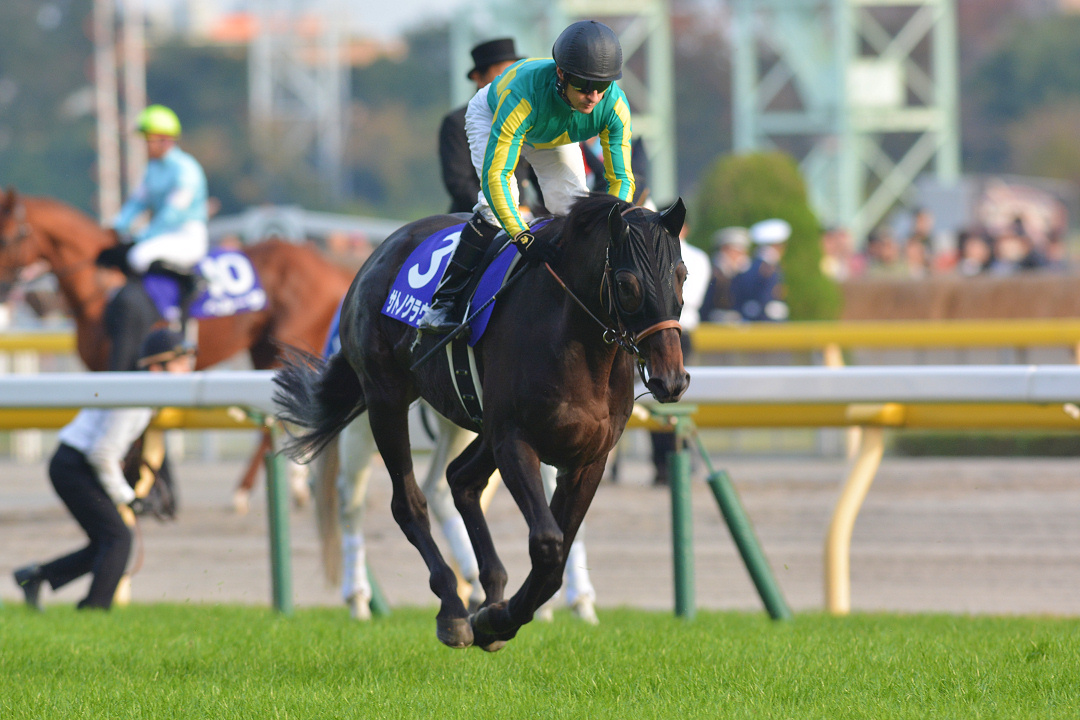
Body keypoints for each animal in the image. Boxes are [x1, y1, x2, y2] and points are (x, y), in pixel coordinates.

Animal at [0, 188, 352, 507]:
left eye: (7, 238)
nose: (5, 291)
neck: (102, 288)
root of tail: (333, 267)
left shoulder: (125, 361)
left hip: (287, 344)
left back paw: (250, 491)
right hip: (265, 350)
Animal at [274, 193, 689, 650]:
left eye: (682, 275)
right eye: (627, 285)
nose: (671, 379)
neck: (577, 343)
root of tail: (376, 255)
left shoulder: (587, 459)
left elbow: (556, 557)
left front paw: (499, 615)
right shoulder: (514, 440)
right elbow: (547, 543)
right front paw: (496, 618)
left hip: (475, 426)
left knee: (460, 479)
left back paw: (489, 587)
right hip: (384, 399)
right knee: (408, 502)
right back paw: (452, 608)